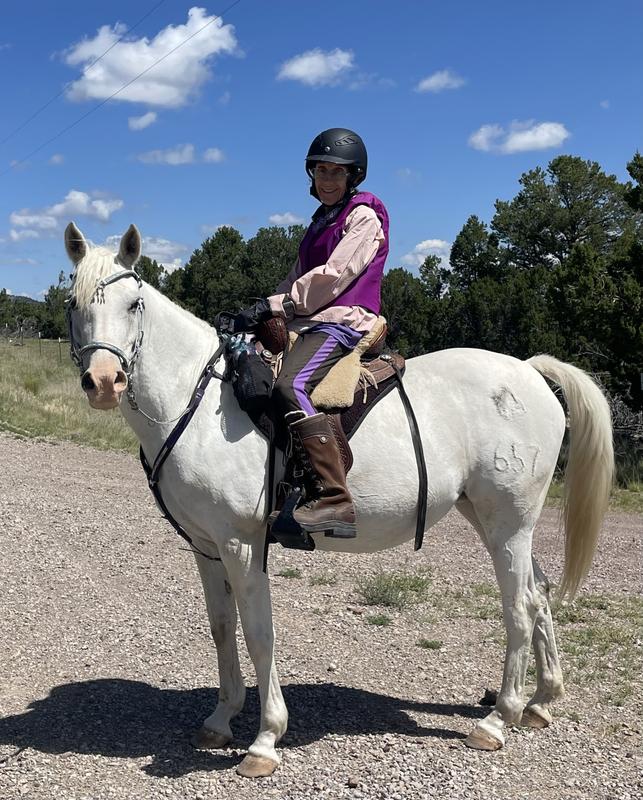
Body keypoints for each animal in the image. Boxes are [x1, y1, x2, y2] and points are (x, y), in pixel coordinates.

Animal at [64, 222, 612, 780]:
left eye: (135, 304)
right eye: (73, 303)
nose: (105, 382)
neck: (196, 401)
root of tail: (529, 371)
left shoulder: (242, 544)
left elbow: (259, 633)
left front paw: (265, 739)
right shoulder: (206, 547)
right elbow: (221, 627)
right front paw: (221, 719)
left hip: (509, 522)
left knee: (520, 607)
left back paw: (499, 719)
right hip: (492, 519)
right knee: (540, 593)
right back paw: (540, 701)